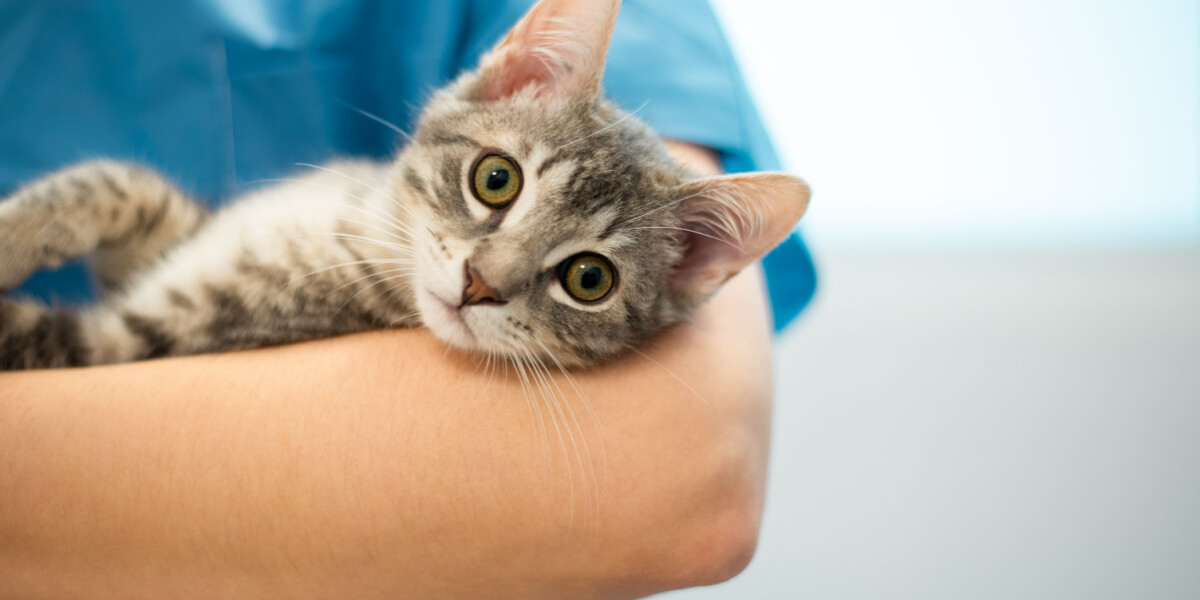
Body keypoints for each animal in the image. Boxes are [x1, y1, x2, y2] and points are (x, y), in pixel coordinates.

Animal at [0, 0, 811, 372]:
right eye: (496, 179)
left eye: (589, 279)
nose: (480, 284)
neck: (354, 222)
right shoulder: (160, 244)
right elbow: (121, 184)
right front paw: (19, 227)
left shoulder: (139, 340)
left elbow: (29, 335)